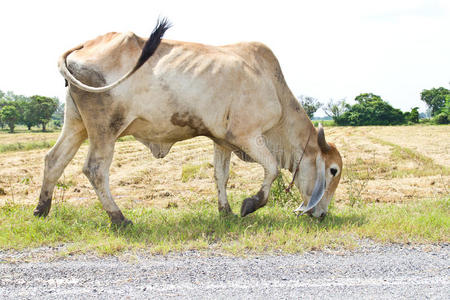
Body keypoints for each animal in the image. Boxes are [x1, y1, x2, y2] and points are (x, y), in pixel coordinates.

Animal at [35, 18, 342, 225]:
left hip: (76, 124)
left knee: (54, 160)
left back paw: (41, 210)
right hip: (105, 128)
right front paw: (250, 205)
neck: (273, 87)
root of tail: (83, 46)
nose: (321, 214)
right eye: (333, 170)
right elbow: (272, 168)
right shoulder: (247, 136)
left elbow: (221, 175)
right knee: (95, 169)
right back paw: (119, 219)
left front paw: (226, 211)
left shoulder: (223, 141)